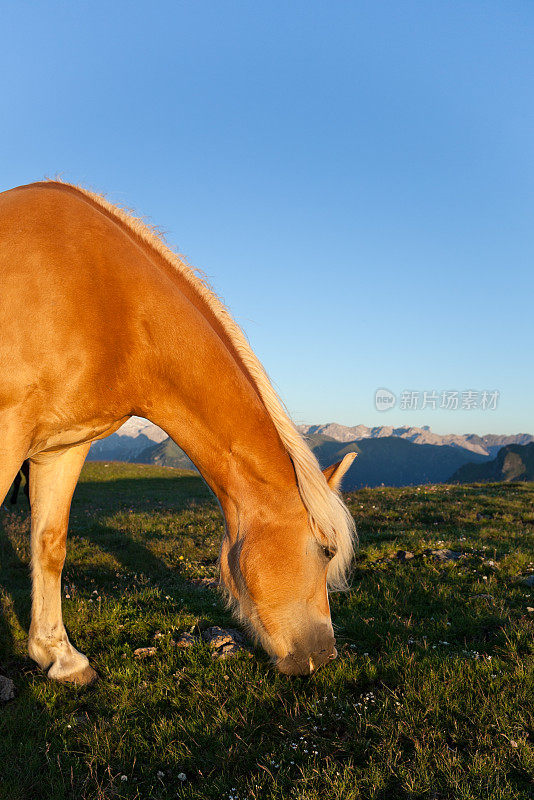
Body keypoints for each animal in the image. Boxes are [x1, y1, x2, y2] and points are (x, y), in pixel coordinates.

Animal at [1, 181, 360, 680]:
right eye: (327, 552)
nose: (323, 656)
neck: (99, 296)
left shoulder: (64, 446)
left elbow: (50, 545)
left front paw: (60, 657)